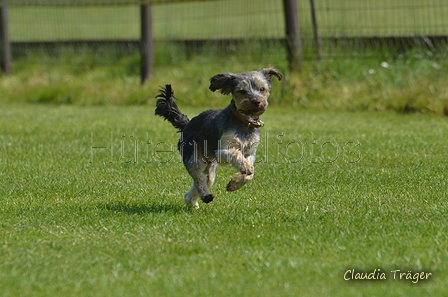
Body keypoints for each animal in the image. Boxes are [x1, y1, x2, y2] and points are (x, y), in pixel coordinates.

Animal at [155, 67, 280, 207]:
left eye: (262, 89)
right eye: (242, 91)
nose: (256, 101)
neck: (244, 121)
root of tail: (187, 124)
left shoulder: (250, 153)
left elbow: (250, 173)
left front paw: (234, 184)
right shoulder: (223, 150)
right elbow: (237, 156)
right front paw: (245, 168)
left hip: (210, 165)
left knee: (204, 181)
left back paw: (192, 202)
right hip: (194, 155)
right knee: (198, 177)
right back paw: (205, 196)